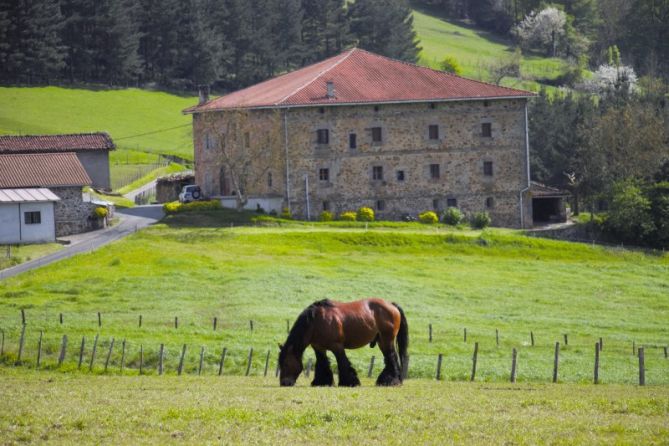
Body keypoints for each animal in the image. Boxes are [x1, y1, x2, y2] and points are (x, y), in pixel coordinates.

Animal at [276, 300, 408, 386]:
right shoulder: (319, 348)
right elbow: (322, 363)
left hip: (387, 340)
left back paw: (390, 381)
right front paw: (321, 382)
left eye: (286, 364)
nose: (284, 383)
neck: (316, 321)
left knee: (391, 358)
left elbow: (343, 363)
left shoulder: (337, 347)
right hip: (381, 341)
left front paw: (350, 382)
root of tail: (392, 305)